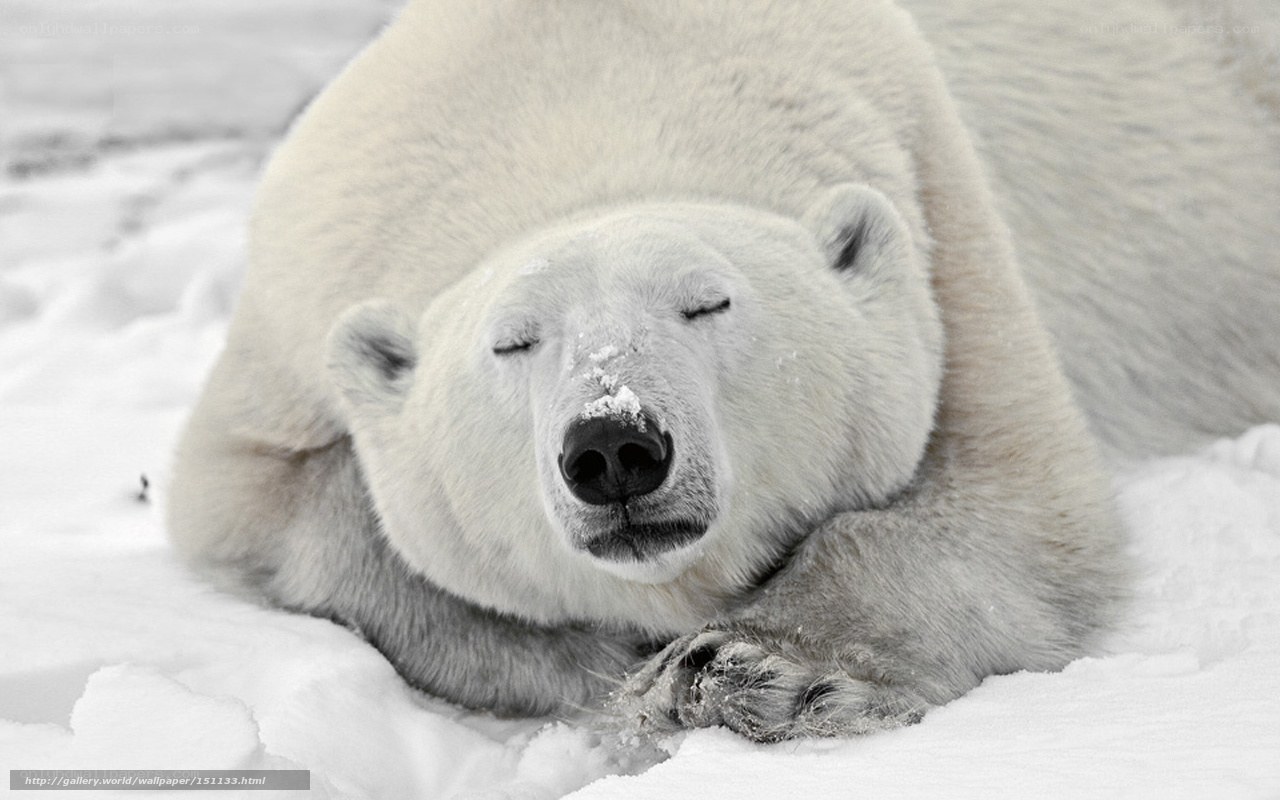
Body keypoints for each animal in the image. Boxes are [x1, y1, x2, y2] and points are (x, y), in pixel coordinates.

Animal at [168, 0, 1280, 742]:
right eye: (512, 341)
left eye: (708, 302)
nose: (615, 446)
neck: (572, 99)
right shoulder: (291, 317)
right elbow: (280, 514)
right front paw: (604, 660)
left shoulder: (939, 222)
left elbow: (1013, 500)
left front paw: (743, 669)